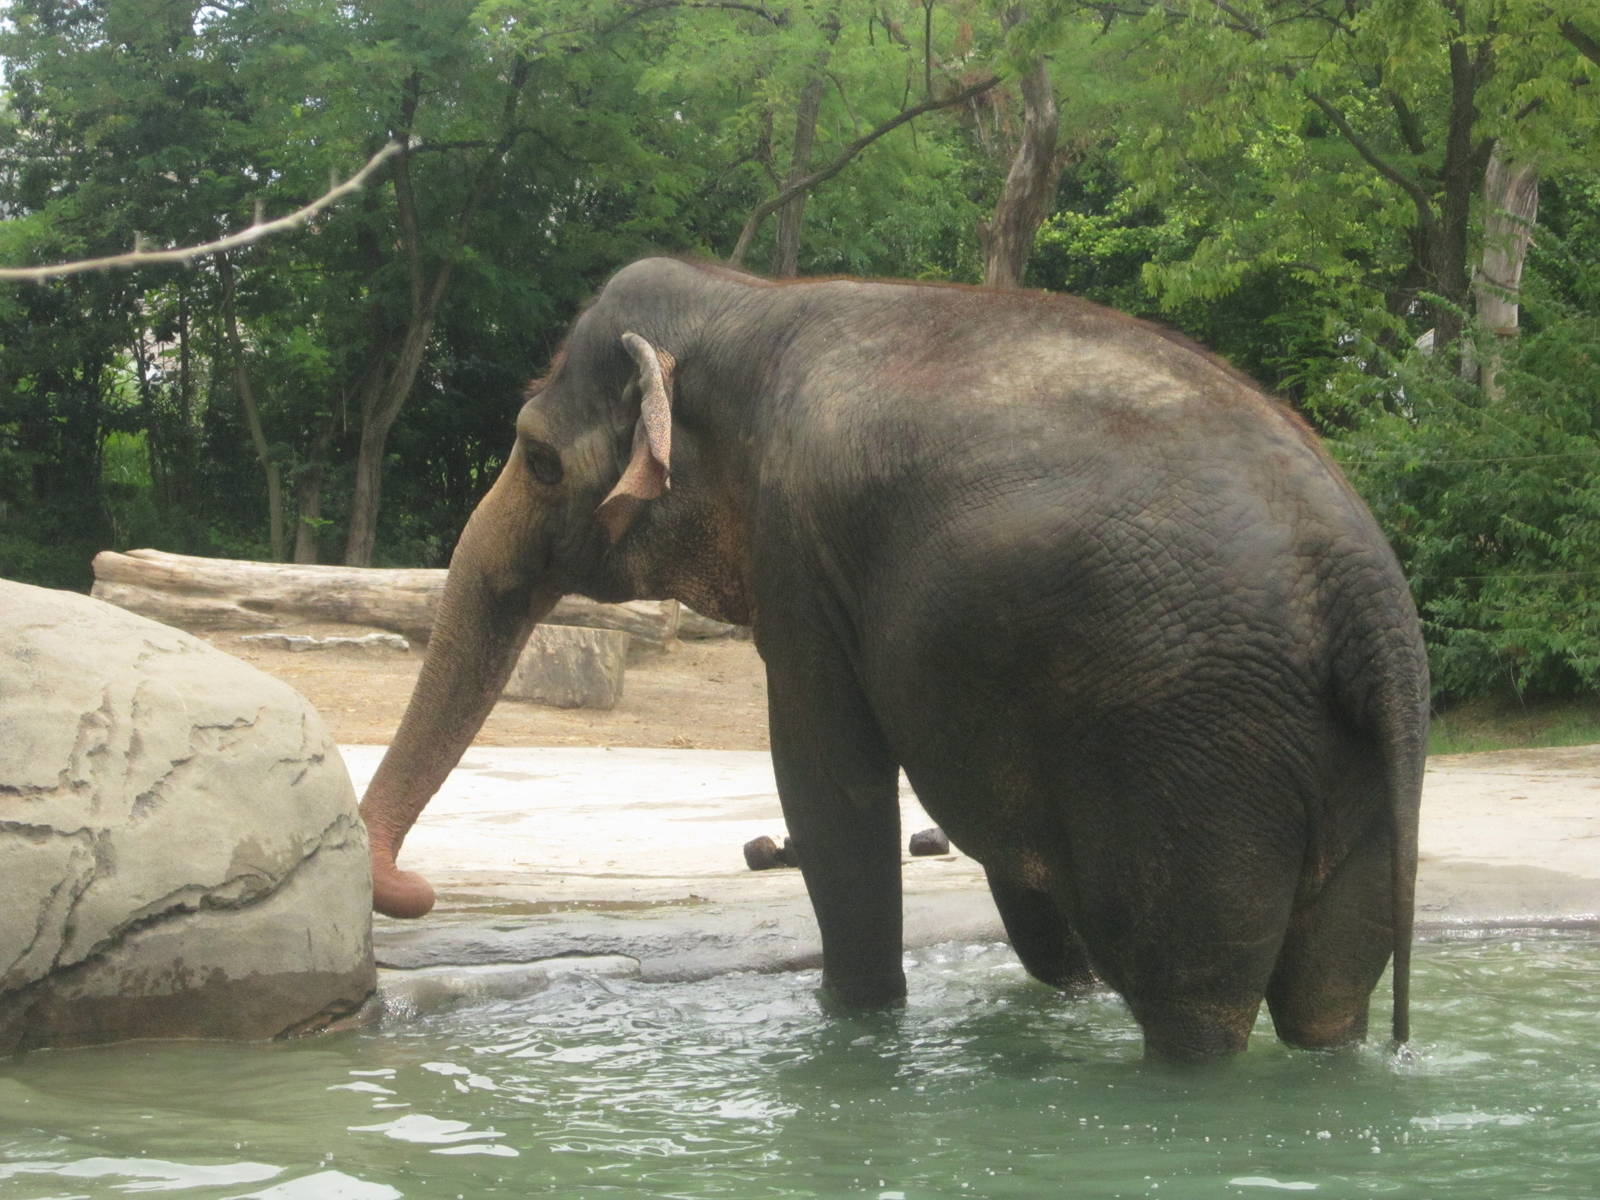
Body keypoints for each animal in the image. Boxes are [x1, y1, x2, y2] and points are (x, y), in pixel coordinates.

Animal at [358, 257, 1429, 1063]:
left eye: (539, 461)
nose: (415, 890)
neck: (743, 300)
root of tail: (1365, 593)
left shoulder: (799, 548)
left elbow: (828, 785)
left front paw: (853, 1022)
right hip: (1345, 767)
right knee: (1328, 999)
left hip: (1196, 751)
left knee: (1194, 1003)